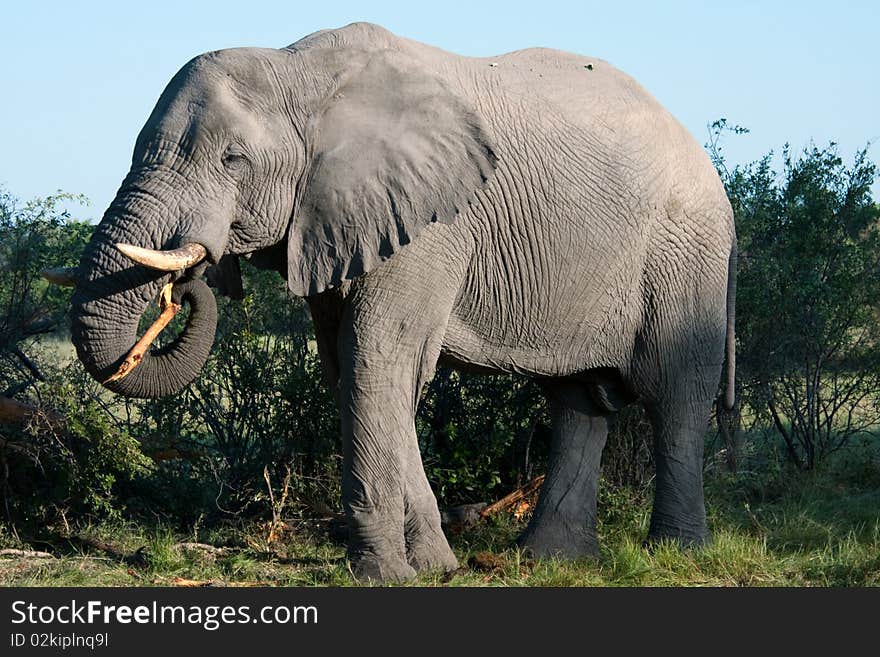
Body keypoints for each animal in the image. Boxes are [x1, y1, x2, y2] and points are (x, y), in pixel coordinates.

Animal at [63, 23, 736, 580]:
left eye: (233, 159)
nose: (190, 279)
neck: (299, 70)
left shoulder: (430, 223)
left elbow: (377, 358)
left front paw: (384, 574)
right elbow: (354, 370)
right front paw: (435, 566)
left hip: (685, 257)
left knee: (674, 396)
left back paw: (675, 555)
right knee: (577, 403)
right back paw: (550, 561)